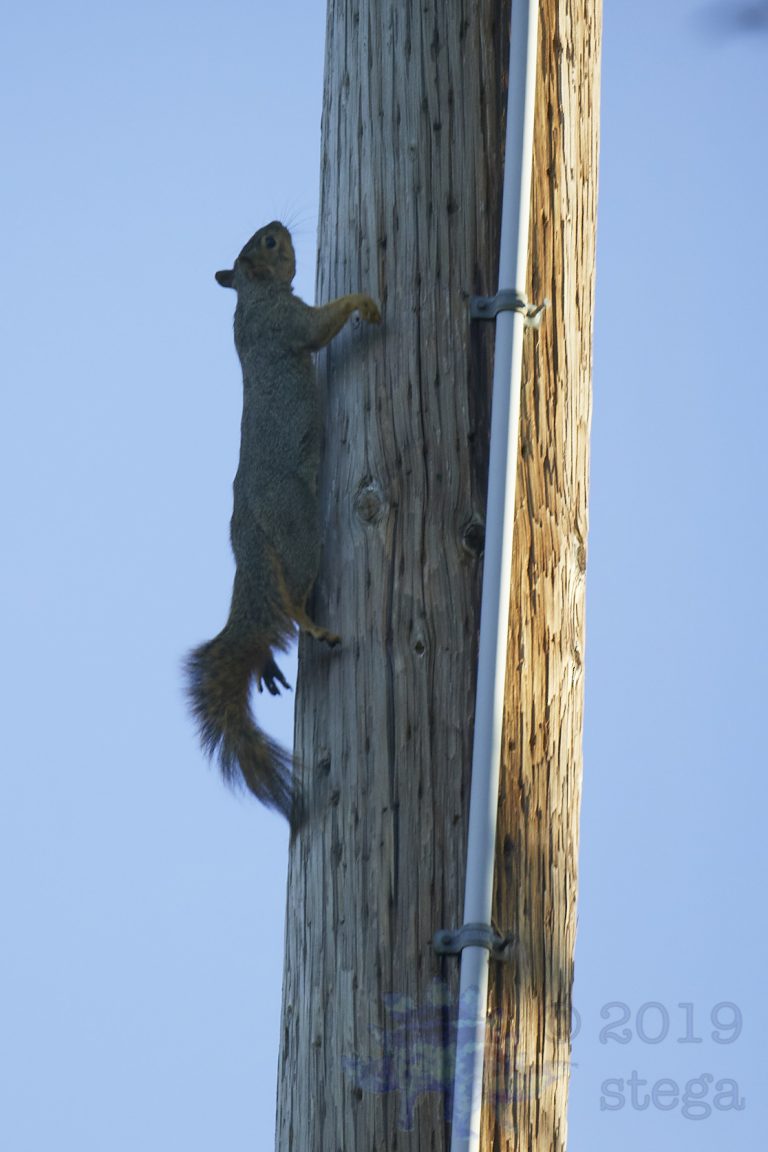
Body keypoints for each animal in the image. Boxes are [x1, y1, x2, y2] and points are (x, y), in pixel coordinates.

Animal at [185, 221, 381, 824]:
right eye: (268, 244)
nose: (279, 225)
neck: (252, 297)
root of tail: (247, 523)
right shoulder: (287, 321)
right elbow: (319, 327)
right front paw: (363, 303)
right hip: (297, 527)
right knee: (290, 597)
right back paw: (312, 627)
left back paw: (269, 661)